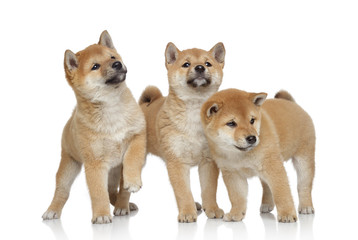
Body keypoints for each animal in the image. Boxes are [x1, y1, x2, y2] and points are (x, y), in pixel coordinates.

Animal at [42, 31, 147, 224]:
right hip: (68, 166)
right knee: (62, 192)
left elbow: (133, 159)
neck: (112, 108)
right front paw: (101, 215)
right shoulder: (95, 164)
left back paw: (123, 206)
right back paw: (52, 211)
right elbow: (98, 192)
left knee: (115, 191)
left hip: (115, 171)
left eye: (112, 57)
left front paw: (133, 182)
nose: (117, 64)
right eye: (95, 66)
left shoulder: (137, 136)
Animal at [138, 42, 225, 222]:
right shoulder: (176, 161)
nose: (199, 68)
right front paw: (187, 212)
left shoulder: (208, 161)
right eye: (186, 64)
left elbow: (209, 189)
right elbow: (183, 192)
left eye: (208, 63)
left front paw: (212, 208)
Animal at [201, 88, 316, 223]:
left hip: (304, 161)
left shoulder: (274, 167)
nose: (252, 138)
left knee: (304, 186)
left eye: (252, 120)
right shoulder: (232, 173)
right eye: (231, 123)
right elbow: (237, 197)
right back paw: (267, 204)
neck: (240, 155)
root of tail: (293, 104)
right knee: (267, 187)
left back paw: (306, 206)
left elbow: (281, 192)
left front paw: (287, 214)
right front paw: (236, 213)